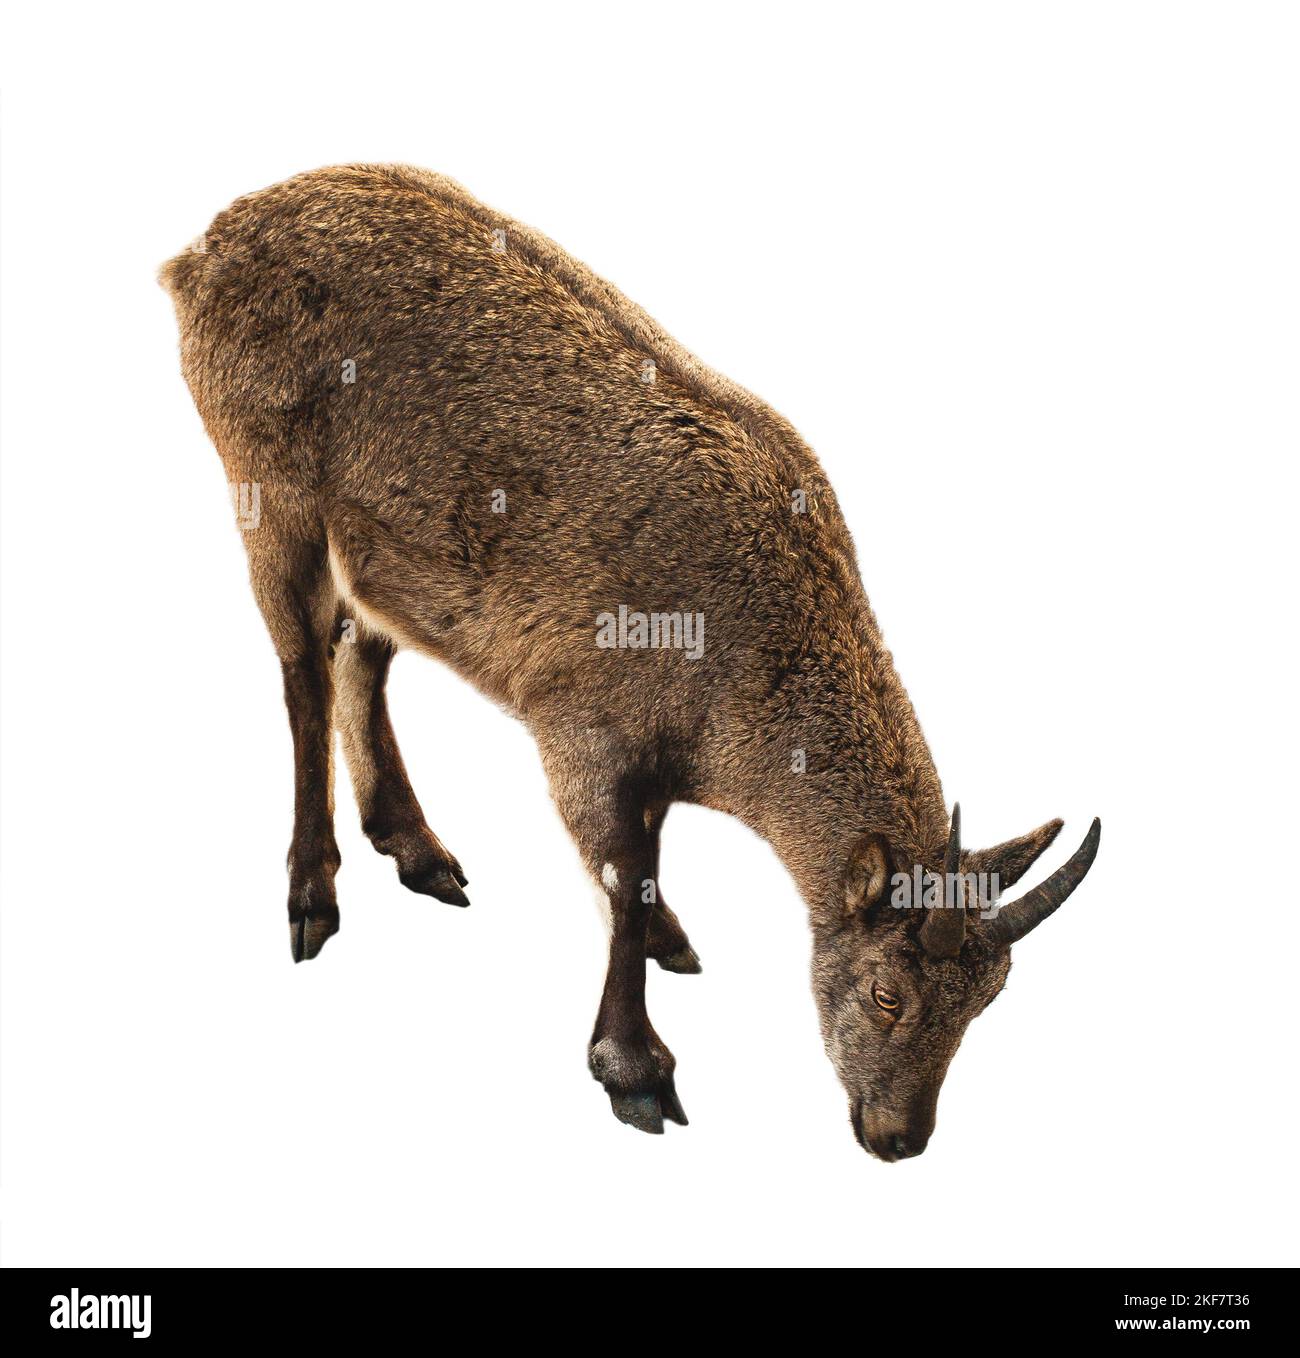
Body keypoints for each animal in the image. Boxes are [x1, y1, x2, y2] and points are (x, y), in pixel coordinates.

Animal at [160, 165, 1099, 1157]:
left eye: (986, 1002)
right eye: (888, 993)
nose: (897, 1138)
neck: (747, 674)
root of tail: (202, 250)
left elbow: (642, 877)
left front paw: (669, 944)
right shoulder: (585, 733)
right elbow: (622, 880)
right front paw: (636, 1073)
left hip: (390, 550)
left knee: (363, 655)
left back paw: (417, 850)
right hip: (267, 489)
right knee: (301, 669)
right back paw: (313, 895)